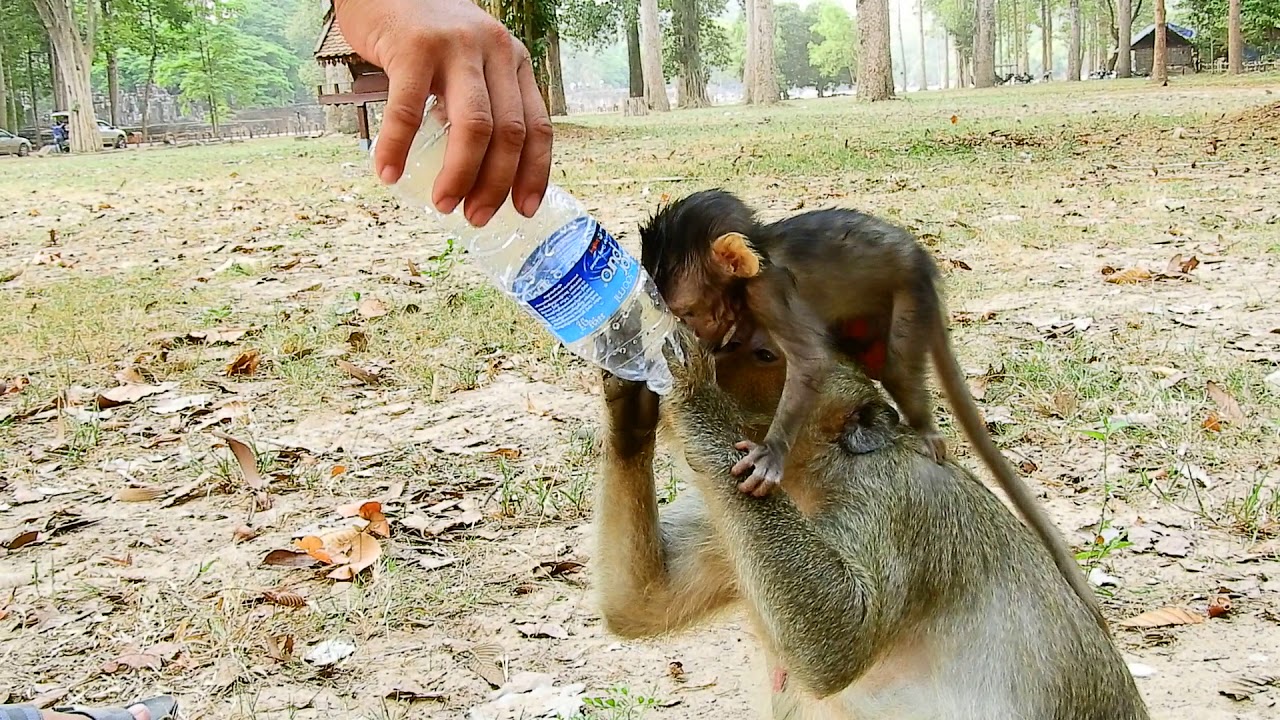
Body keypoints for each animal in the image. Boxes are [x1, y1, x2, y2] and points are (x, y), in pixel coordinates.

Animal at [592, 321, 1150, 719]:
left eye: (765, 355)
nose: (720, 348)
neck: (814, 476)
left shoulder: (897, 502)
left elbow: (840, 638)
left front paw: (690, 388)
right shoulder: (718, 518)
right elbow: (643, 601)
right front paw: (629, 407)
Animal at [637, 188, 1106, 629]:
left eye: (687, 310)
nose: (691, 333)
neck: (761, 254)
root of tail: (922, 262)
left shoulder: (769, 295)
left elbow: (811, 361)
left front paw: (770, 453)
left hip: (909, 296)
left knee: (895, 365)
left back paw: (925, 428)